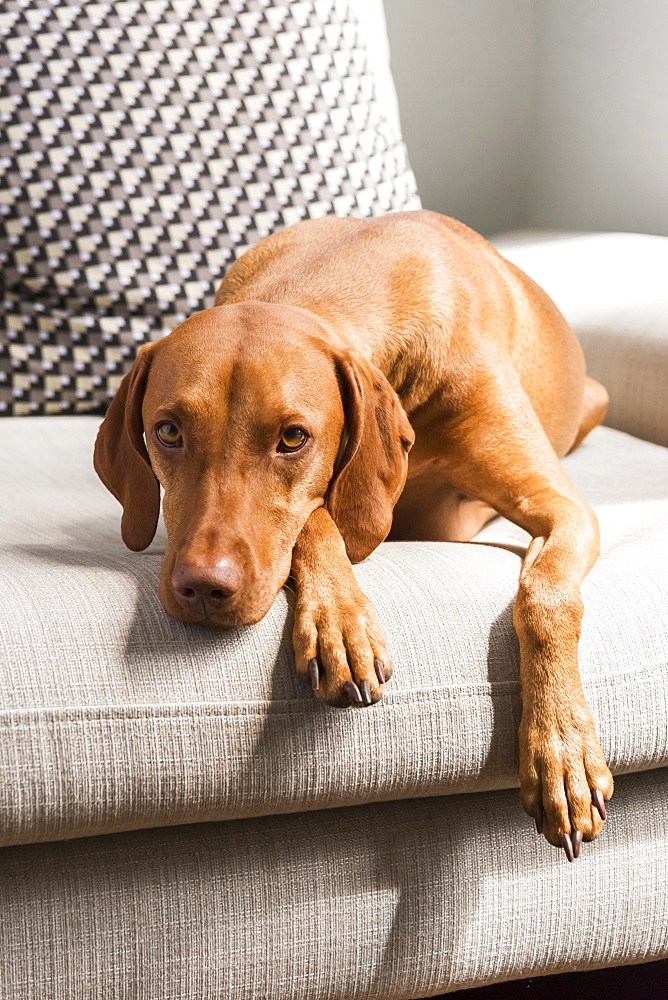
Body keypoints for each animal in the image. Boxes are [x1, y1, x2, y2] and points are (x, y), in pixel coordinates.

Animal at [95, 209, 616, 860]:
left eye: (293, 437)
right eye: (167, 431)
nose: (204, 589)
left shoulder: (562, 506)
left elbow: (547, 596)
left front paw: (562, 750)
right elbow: (318, 516)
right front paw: (340, 624)